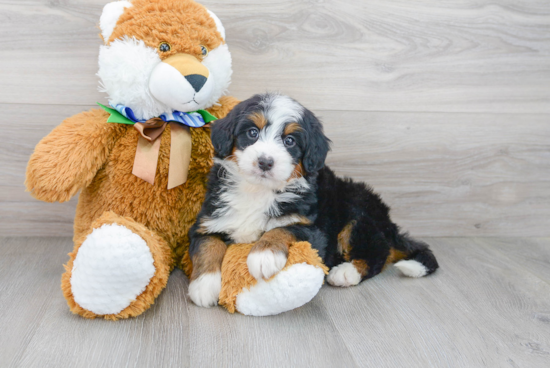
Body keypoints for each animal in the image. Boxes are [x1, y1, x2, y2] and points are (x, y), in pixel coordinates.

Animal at [189, 92, 440, 308]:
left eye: (290, 141)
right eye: (252, 133)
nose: (265, 162)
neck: (258, 191)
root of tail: (388, 220)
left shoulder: (314, 229)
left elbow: (282, 229)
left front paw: (264, 255)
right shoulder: (207, 221)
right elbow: (208, 246)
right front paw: (203, 286)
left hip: (358, 213)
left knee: (378, 252)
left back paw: (346, 272)